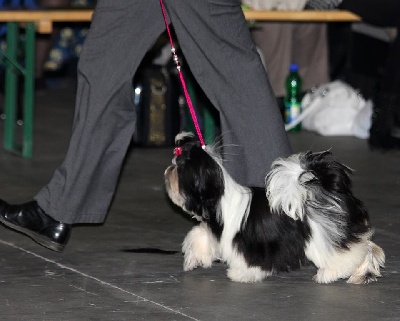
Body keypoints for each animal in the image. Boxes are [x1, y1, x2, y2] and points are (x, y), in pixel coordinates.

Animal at [165, 132, 384, 282]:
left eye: (179, 167)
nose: (168, 170)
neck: (219, 198)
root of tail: (329, 189)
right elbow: (199, 235)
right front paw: (193, 259)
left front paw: (241, 273)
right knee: (365, 247)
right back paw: (363, 273)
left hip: (324, 235)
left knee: (348, 253)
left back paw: (329, 273)